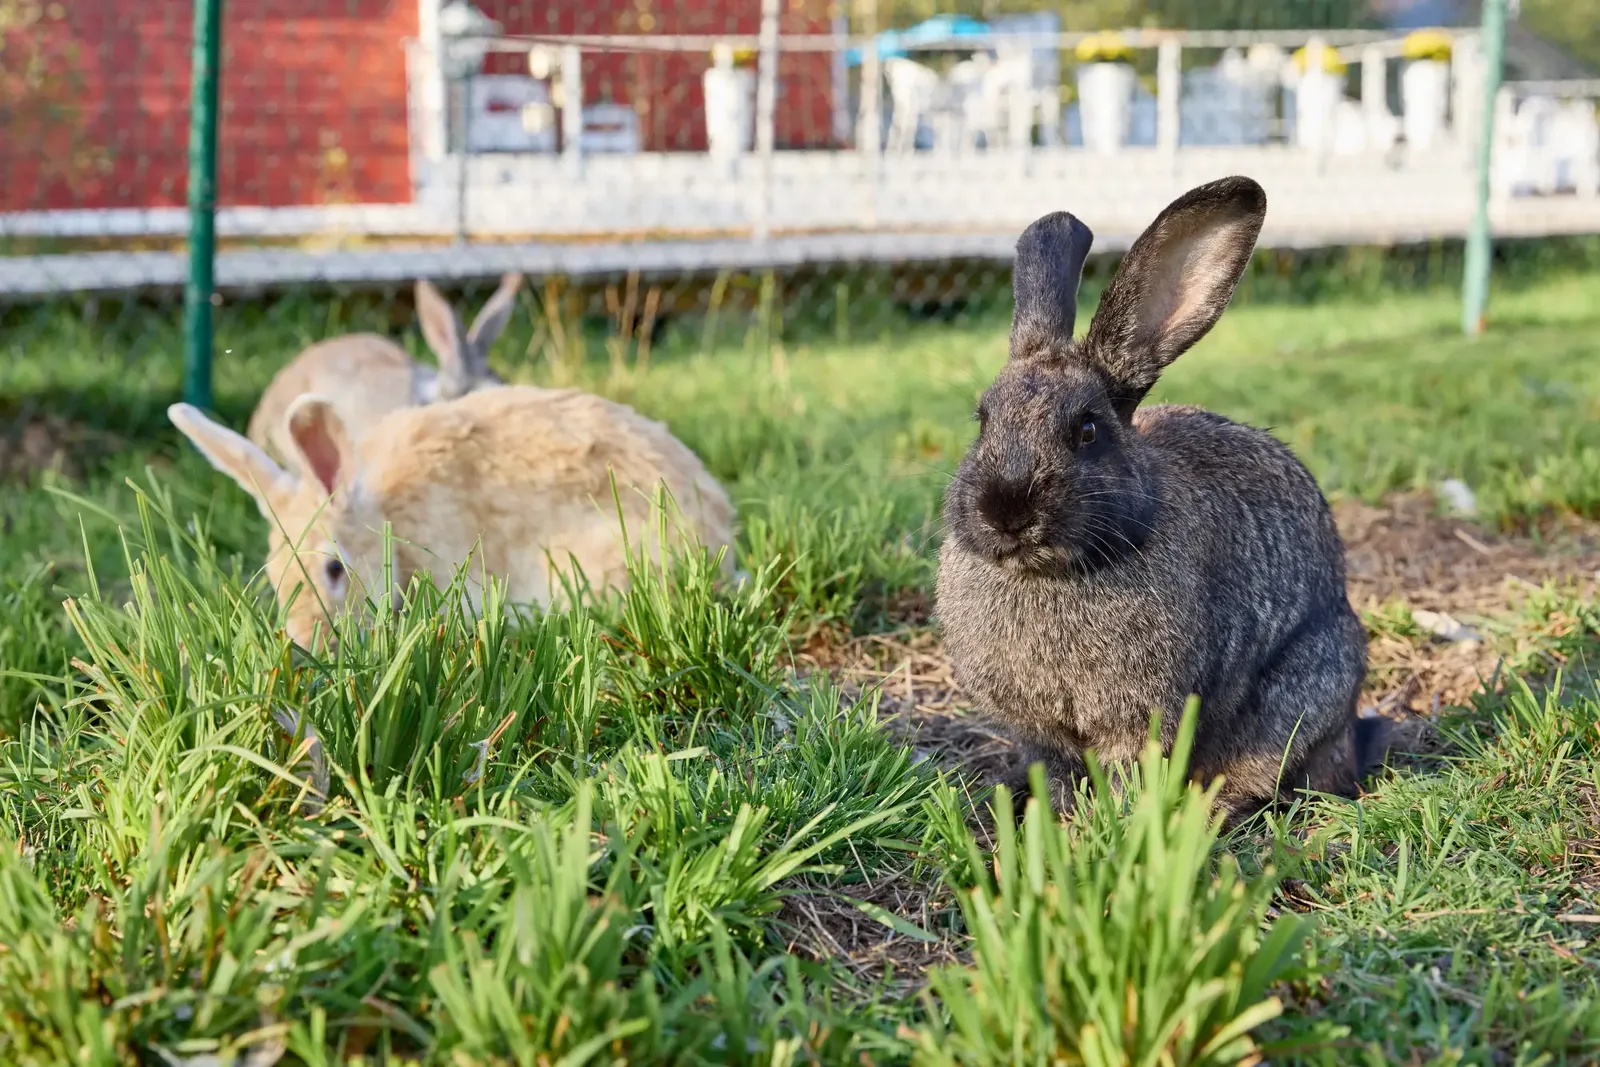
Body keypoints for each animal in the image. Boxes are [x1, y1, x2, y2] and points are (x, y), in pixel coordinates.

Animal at [935, 175, 1386, 824]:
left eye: (1088, 430)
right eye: (983, 420)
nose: (1005, 512)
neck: (1049, 574)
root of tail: (1349, 737)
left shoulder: (1140, 720)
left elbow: (1129, 772)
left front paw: (1112, 825)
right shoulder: (1040, 734)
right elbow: (1057, 770)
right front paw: (1057, 817)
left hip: (1304, 693)